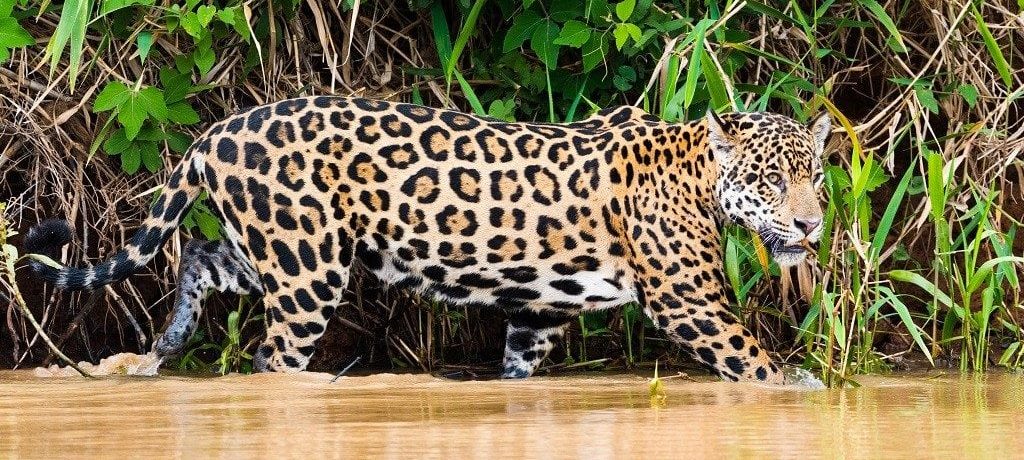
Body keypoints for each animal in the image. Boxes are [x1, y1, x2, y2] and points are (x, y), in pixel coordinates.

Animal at [24, 96, 831, 383]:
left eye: (816, 175)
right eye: (769, 180)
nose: (811, 223)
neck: (697, 171)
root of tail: (217, 131)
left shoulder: (540, 311)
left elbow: (519, 366)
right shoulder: (692, 303)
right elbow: (755, 364)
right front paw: (802, 390)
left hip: (281, 253)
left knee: (198, 255)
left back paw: (163, 345)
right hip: (308, 270)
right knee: (270, 358)